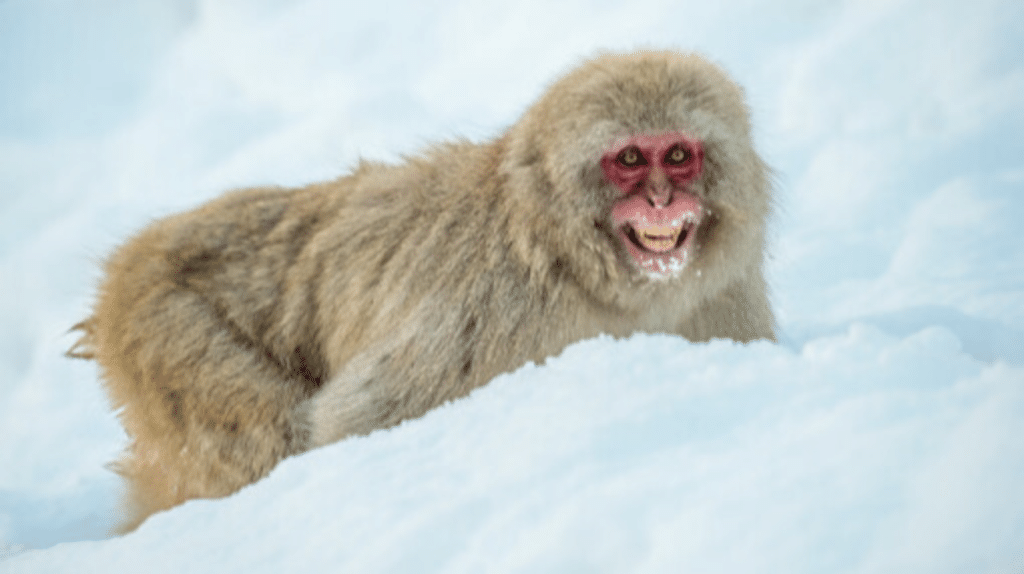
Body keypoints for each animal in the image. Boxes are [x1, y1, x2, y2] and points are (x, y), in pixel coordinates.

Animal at [70, 50, 774, 532]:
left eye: (677, 154)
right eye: (629, 160)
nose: (660, 199)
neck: (568, 258)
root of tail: (132, 259)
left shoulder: (724, 301)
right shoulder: (500, 313)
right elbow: (354, 421)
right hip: (165, 330)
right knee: (262, 432)